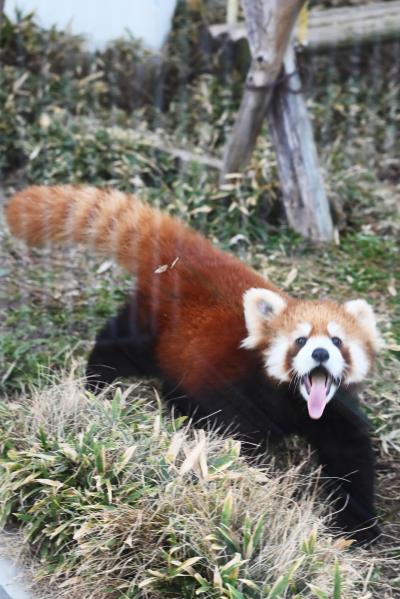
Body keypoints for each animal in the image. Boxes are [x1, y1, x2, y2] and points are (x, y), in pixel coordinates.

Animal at [5, 186, 382, 544]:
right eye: (300, 341)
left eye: (336, 341)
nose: (320, 354)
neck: (294, 403)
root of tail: (185, 260)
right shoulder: (241, 395)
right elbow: (237, 443)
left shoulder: (333, 411)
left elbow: (350, 455)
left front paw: (361, 527)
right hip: (151, 327)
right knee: (119, 346)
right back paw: (96, 381)